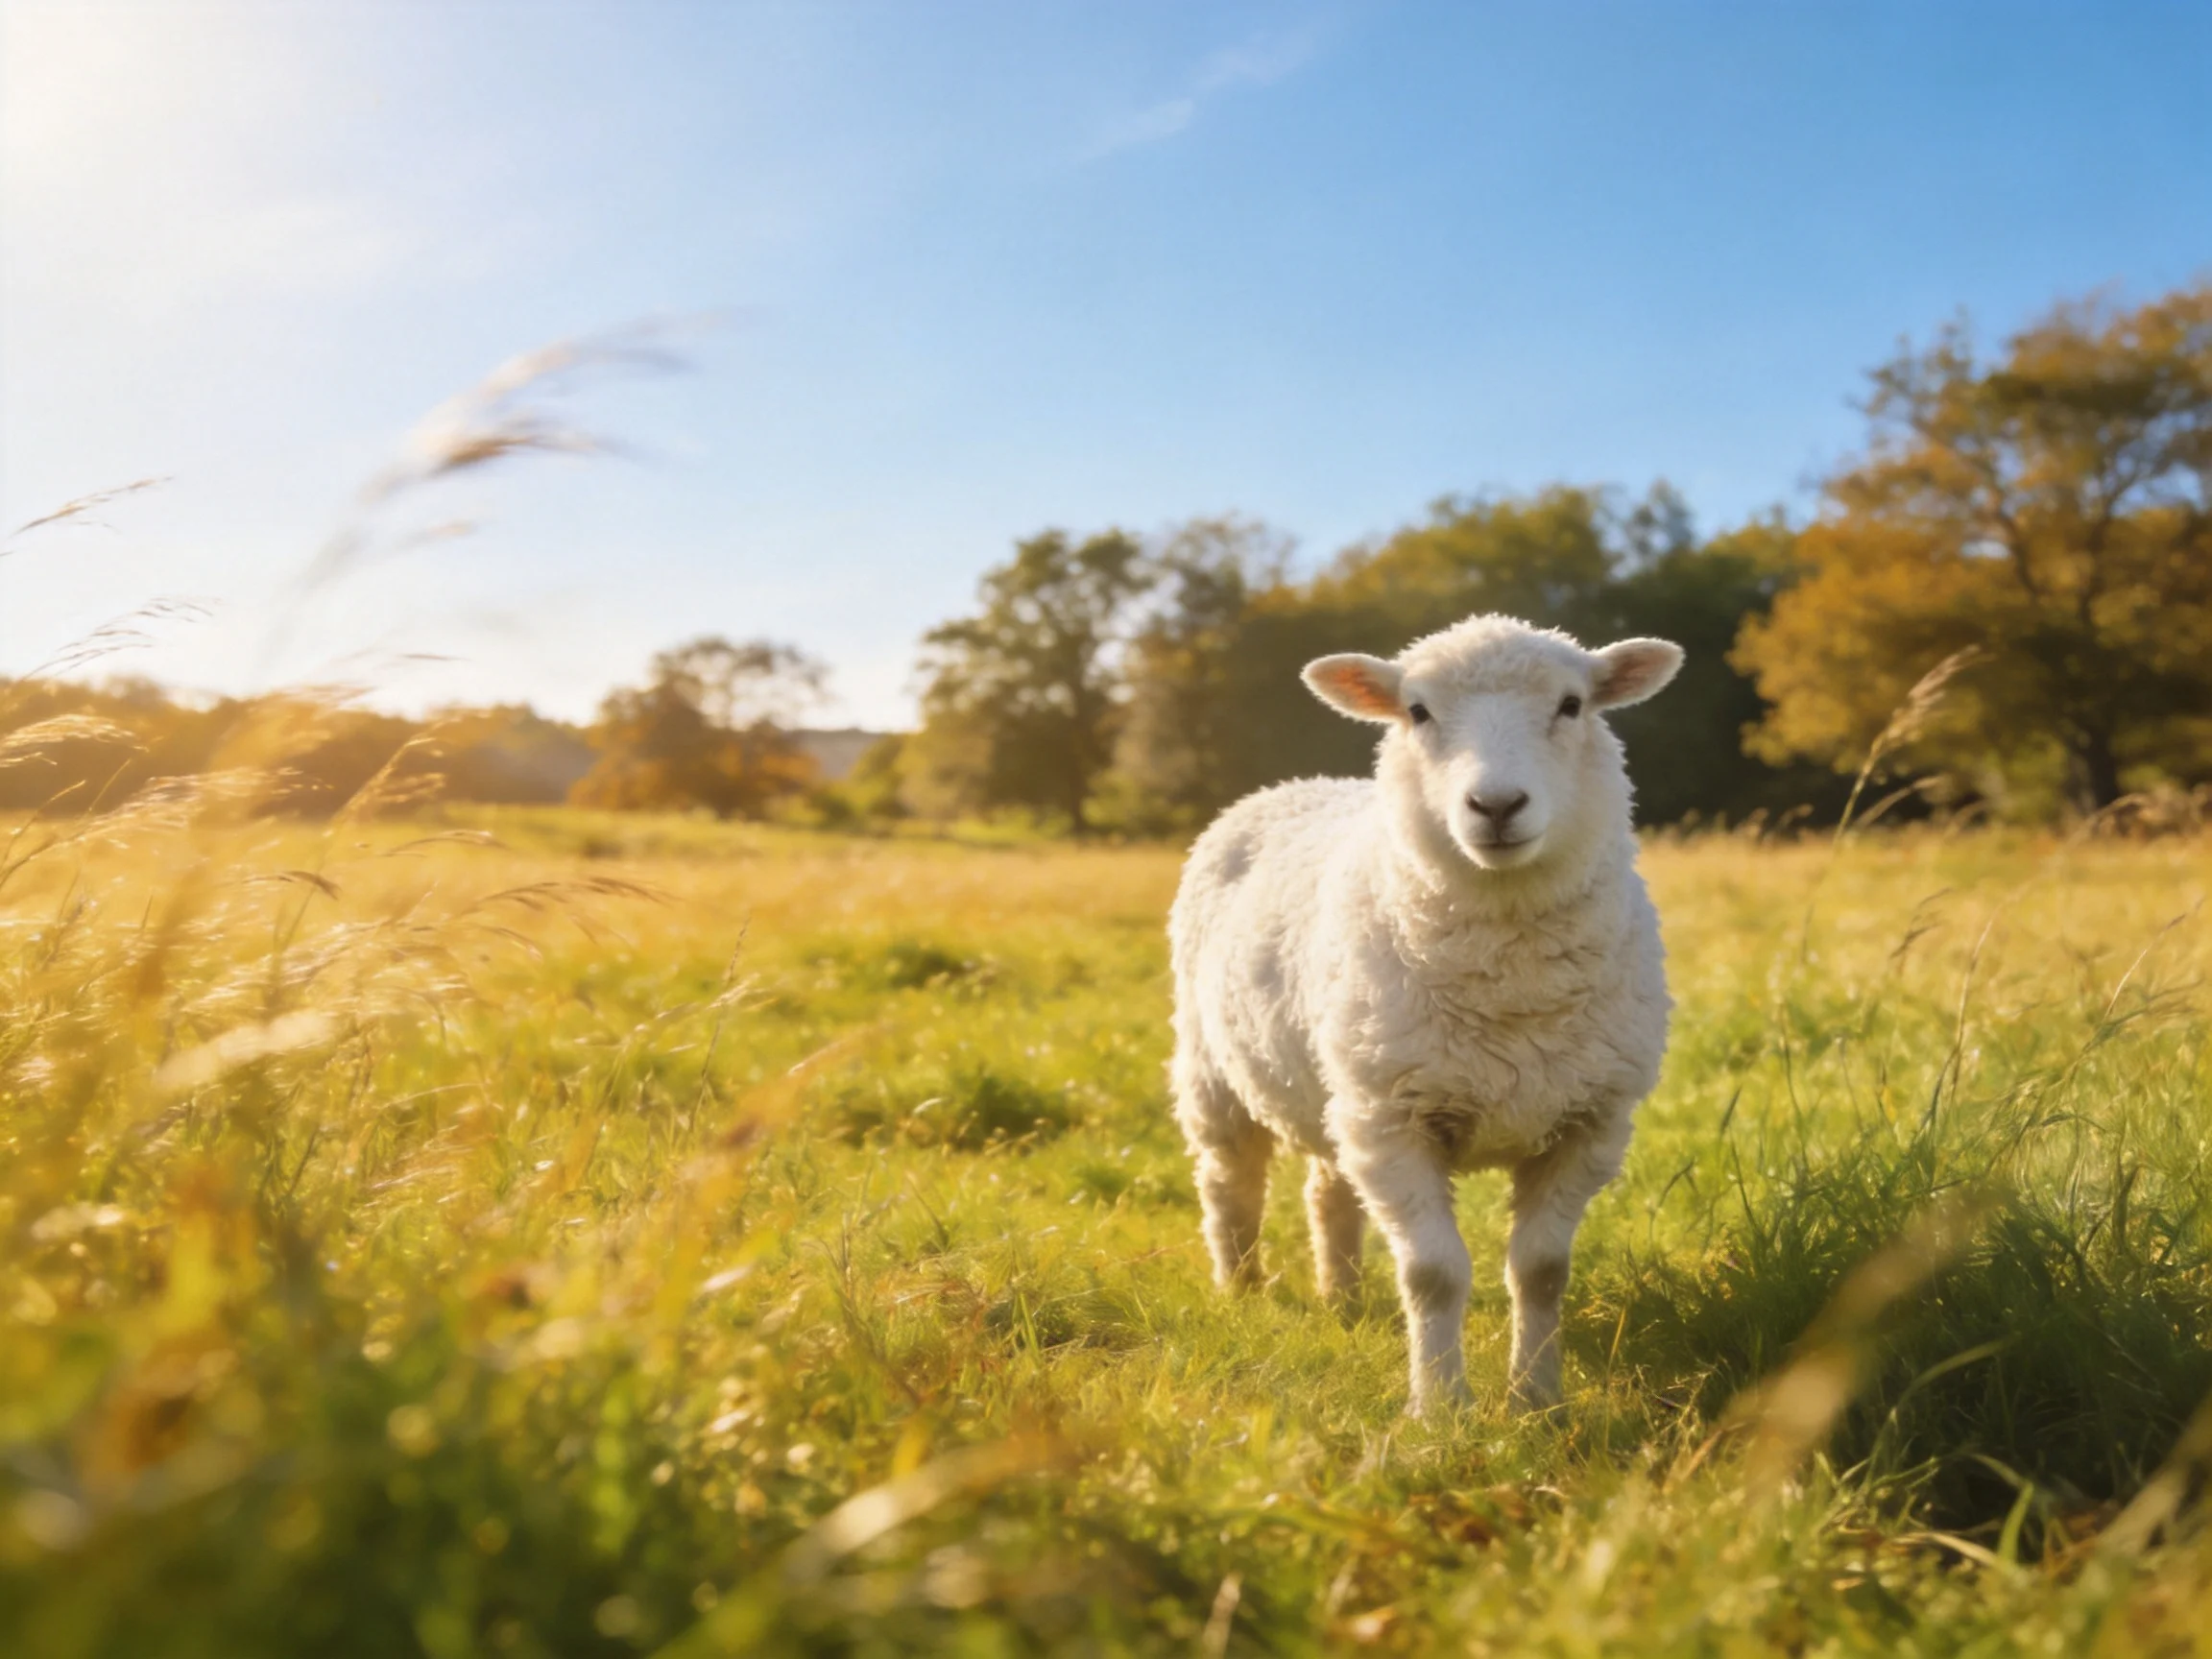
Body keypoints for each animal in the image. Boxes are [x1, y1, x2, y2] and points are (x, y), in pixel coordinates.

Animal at [1167, 613, 1683, 1415]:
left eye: (1572, 705)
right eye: (1417, 711)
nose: (1496, 806)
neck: (1509, 987)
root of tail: (1294, 784)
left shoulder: (1589, 1123)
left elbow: (1542, 1272)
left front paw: (1537, 1400)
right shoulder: (1393, 1122)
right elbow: (1434, 1275)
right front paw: (1440, 1408)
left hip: (1340, 1082)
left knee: (1328, 1191)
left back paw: (1342, 1298)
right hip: (1218, 1073)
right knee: (1229, 1185)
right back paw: (1243, 1292)